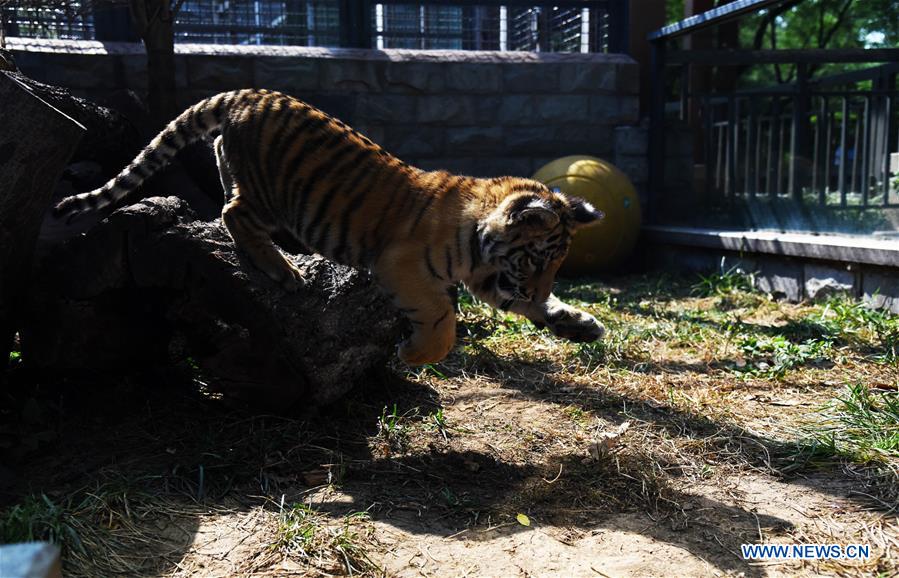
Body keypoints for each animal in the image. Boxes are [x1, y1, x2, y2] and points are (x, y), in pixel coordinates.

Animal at [55, 89, 606, 365]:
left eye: (556, 264)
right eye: (536, 258)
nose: (536, 288)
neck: (479, 241)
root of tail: (243, 93)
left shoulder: (490, 278)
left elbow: (531, 308)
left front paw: (580, 324)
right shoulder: (405, 267)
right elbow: (441, 320)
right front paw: (414, 354)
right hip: (272, 195)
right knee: (232, 214)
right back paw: (285, 271)